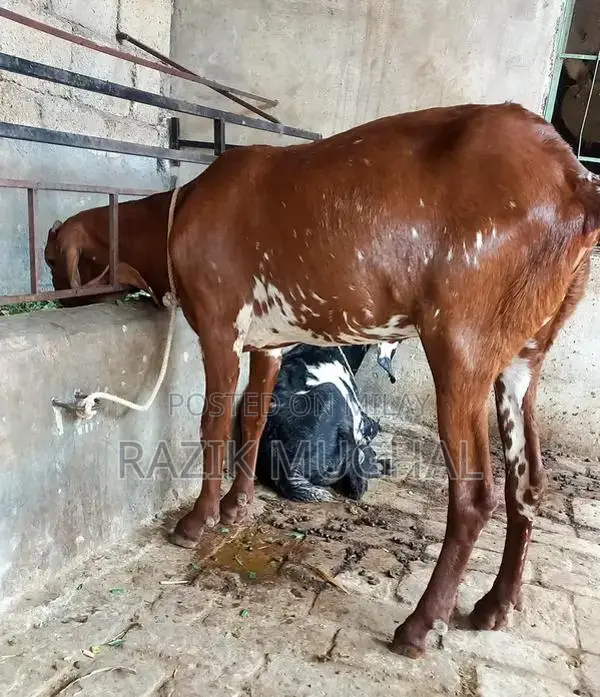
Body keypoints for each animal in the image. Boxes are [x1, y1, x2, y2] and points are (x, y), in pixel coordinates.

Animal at [158, 102, 600, 658]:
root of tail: (575, 181)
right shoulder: (269, 342)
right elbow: (253, 419)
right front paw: (237, 507)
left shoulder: (219, 325)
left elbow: (213, 424)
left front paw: (197, 522)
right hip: (526, 355)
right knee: (529, 481)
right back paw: (496, 606)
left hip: (464, 348)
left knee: (475, 495)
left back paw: (419, 626)